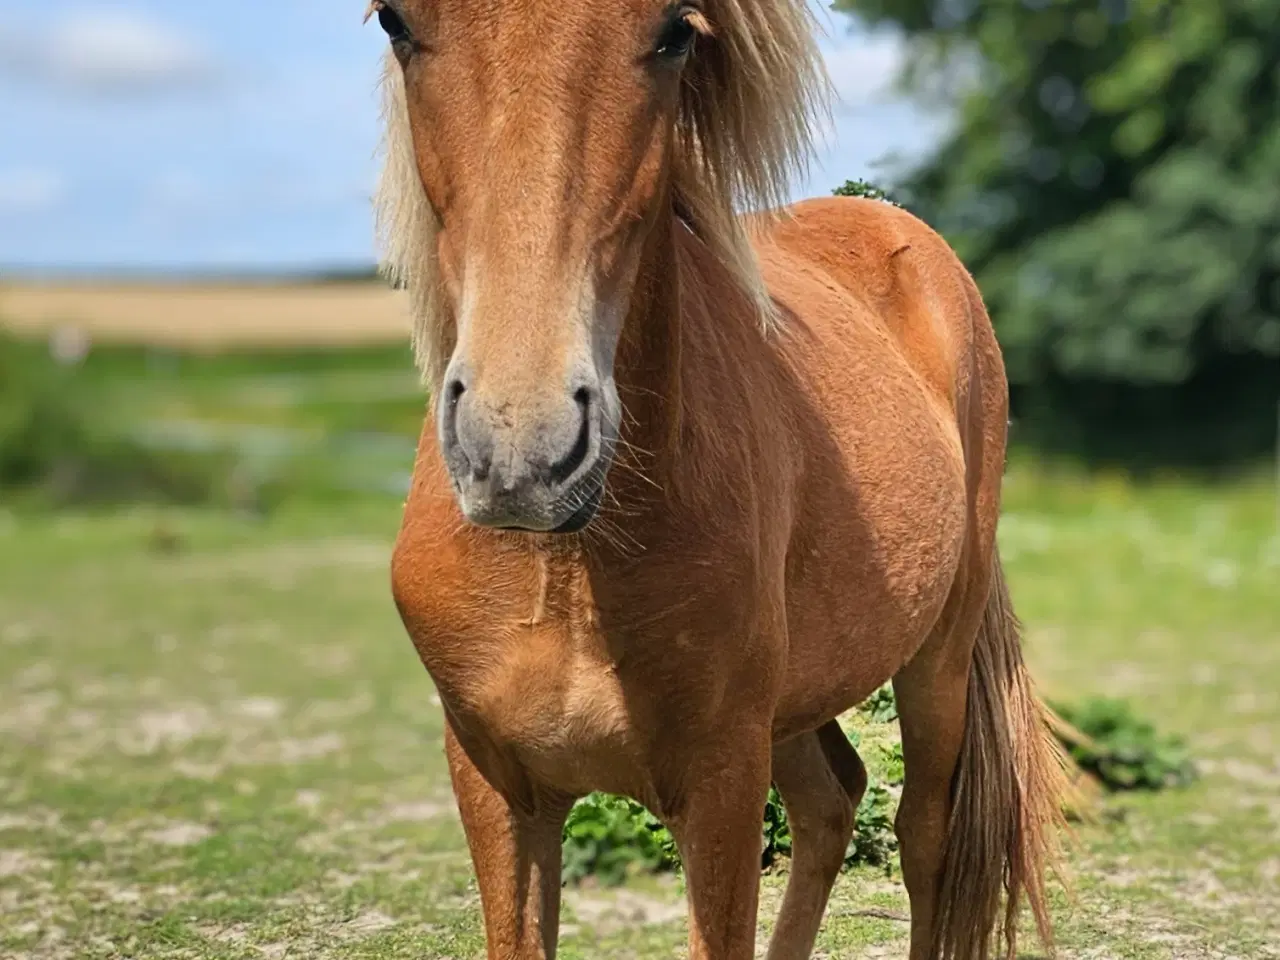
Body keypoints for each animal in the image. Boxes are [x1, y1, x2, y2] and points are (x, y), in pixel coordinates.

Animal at [373, 1, 1070, 960]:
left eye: (676, 32)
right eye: (394, 22)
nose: (522, 449)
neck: (570, 573)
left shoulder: (721, 787)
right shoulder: (498, 788)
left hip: (938, 658)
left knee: (922, 839)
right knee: (831, 802)